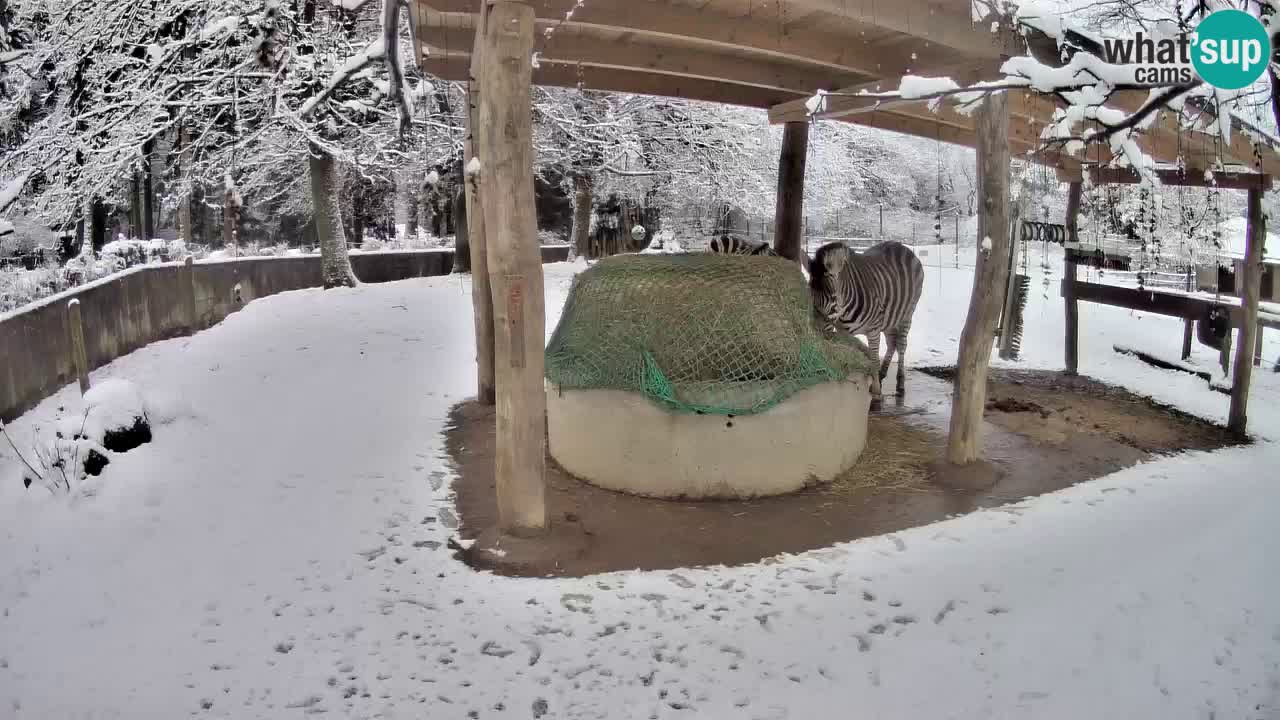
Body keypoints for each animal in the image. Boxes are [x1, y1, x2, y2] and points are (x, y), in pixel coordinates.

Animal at [808, 239, 921, 404]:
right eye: (810, 297)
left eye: (833, 298)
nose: (815, 332)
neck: (844, 310)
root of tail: (900, 246)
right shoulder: (843, 331)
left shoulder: (873, 329)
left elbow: (873, 358)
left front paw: (876, 392)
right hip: (889, 318)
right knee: (892, 343)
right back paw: (881, 375)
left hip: (907, 314)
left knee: (901, 345)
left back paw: (900, 384)